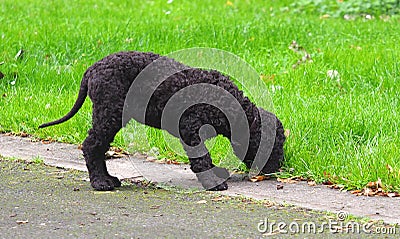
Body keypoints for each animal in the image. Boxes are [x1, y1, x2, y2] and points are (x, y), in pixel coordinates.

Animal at [39, 51, 284, 191]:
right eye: (275, 146)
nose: (276, 169)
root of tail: (92, 68)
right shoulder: (190, 130)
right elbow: (202, 158)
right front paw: (214, 182)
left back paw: (109, 178)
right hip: (109, 115)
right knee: (92, 146)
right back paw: (101, 182)